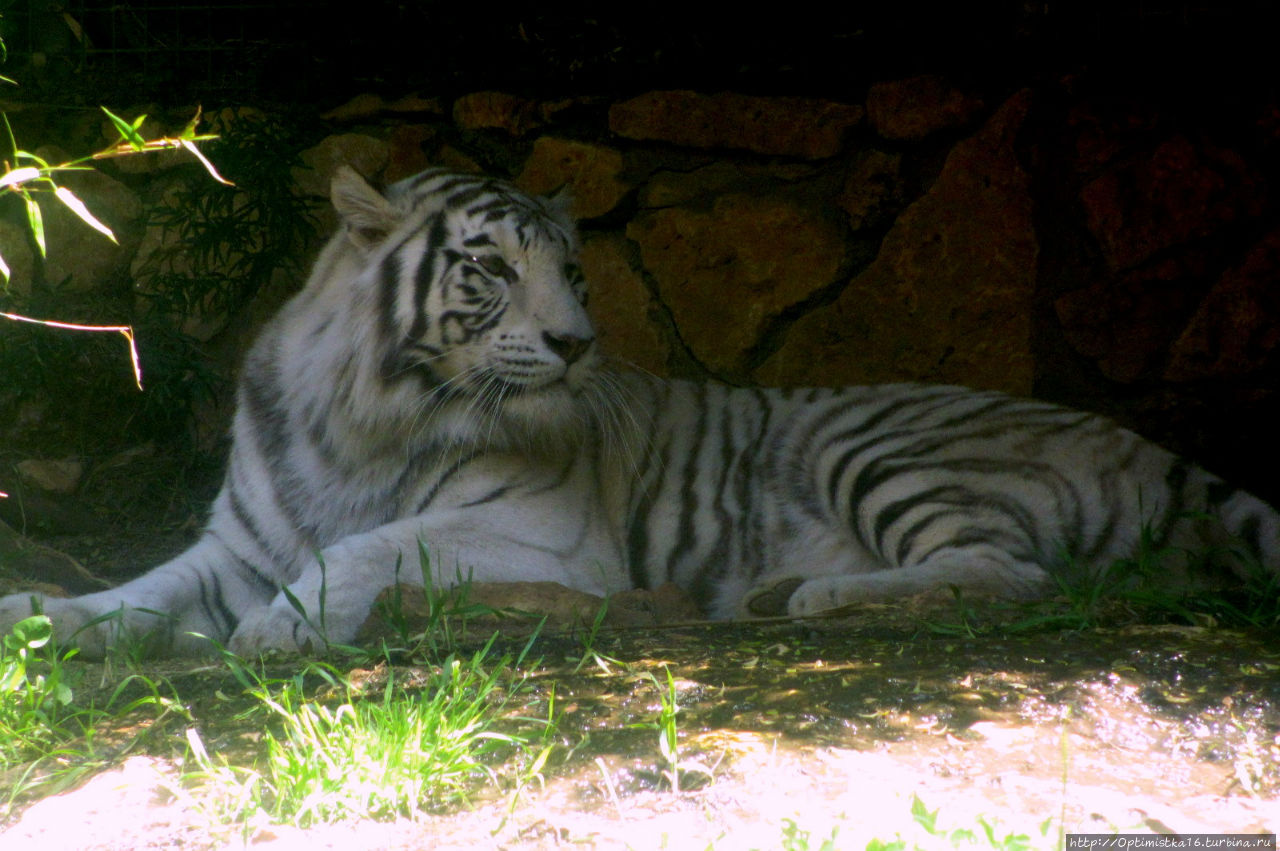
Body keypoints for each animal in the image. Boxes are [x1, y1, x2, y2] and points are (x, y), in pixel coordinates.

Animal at [2, 167, 1280, 655]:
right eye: (492, 268)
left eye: (571, 269)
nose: (577, 341)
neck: (361, 416)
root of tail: (1140, 439)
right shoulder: (234, 542)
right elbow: (134, 592)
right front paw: (38, 615)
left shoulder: (541, 532)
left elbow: (364, 545)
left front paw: (279, 628)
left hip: (880, 445)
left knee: (1012, 573)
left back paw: (808, 595)